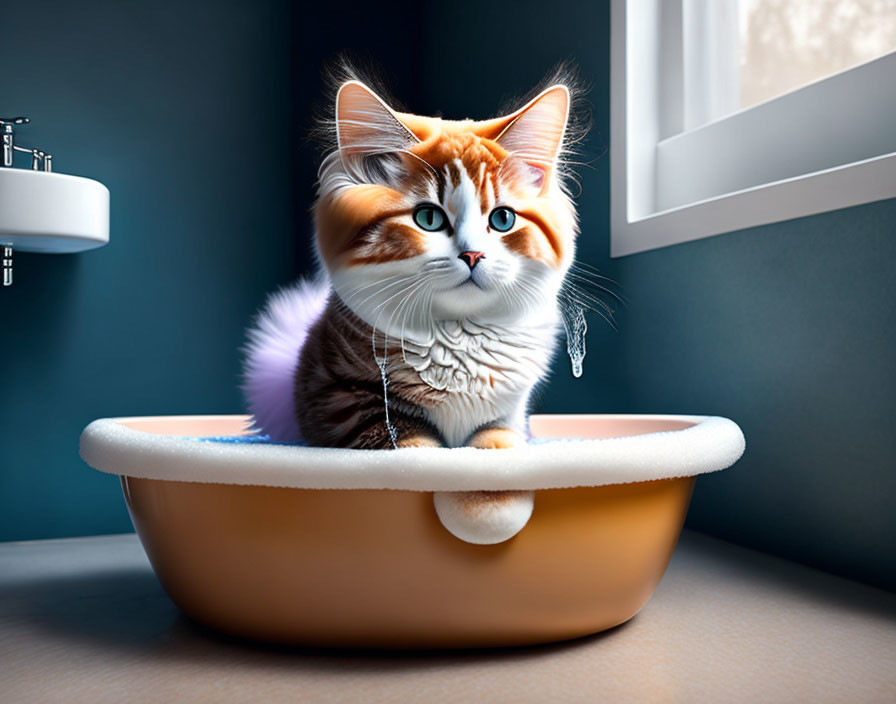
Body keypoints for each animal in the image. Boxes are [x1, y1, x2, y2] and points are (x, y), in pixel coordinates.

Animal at [243, 74, 580, 448]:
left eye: (503, 219)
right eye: (428, 219)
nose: (472, 255)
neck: (458, 338)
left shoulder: (509, 411)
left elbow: (500, 437)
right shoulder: (340, 397)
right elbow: (407, 438)